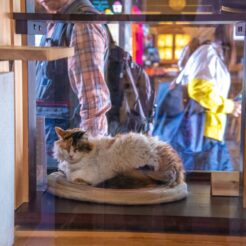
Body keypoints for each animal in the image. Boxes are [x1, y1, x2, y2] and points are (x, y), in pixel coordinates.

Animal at [53, 128, 184, 187]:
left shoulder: (89, 175)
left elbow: (73, 177)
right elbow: (63, 171)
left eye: (77, 148)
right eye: (67, 148)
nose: (71, 155)